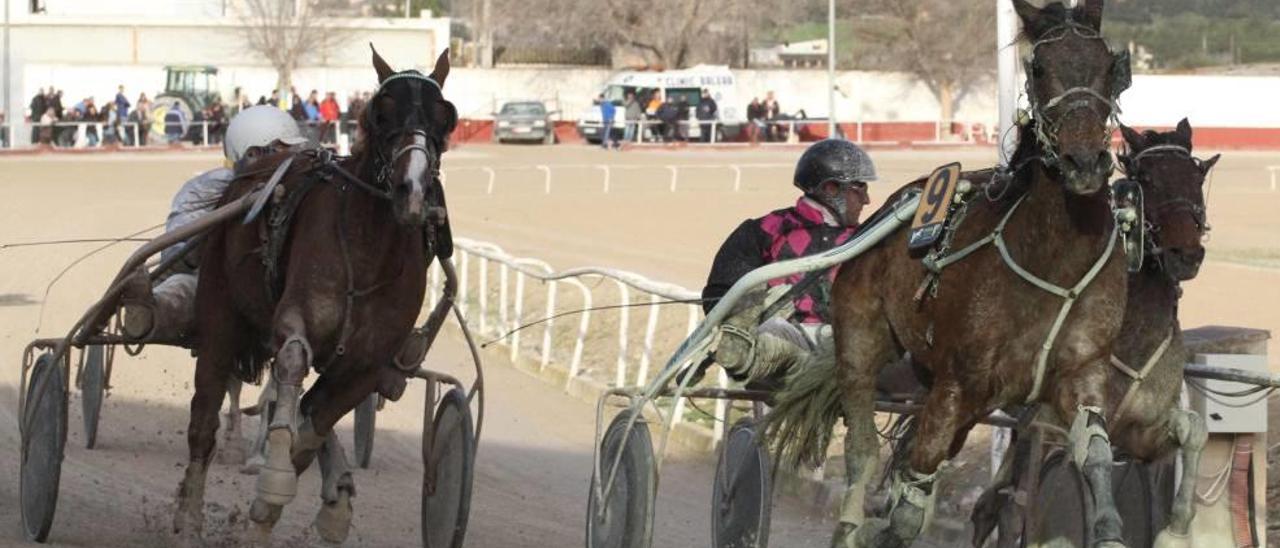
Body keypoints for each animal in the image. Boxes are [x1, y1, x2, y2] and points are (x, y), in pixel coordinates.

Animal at [172, 48, 458, 542]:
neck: (368, 252)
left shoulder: (369, 363)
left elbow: (314, 427)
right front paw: (274, 481)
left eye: (446, 117)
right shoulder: (296, 320)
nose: (412, 191)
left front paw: (300, 501)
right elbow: (292, 365)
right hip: (219, 313)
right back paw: (189, 515)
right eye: (380, 112)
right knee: (204, 415)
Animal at [757, 2, 1131, 545]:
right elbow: (907, 506)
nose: (1083, 161)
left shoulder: (1083, 371)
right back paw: (850, 522)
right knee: (865, 452)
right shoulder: (958, 383)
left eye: (1107, 65)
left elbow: (1097, 457)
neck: (1054, 258)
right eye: (1039, 68)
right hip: (862, 345)